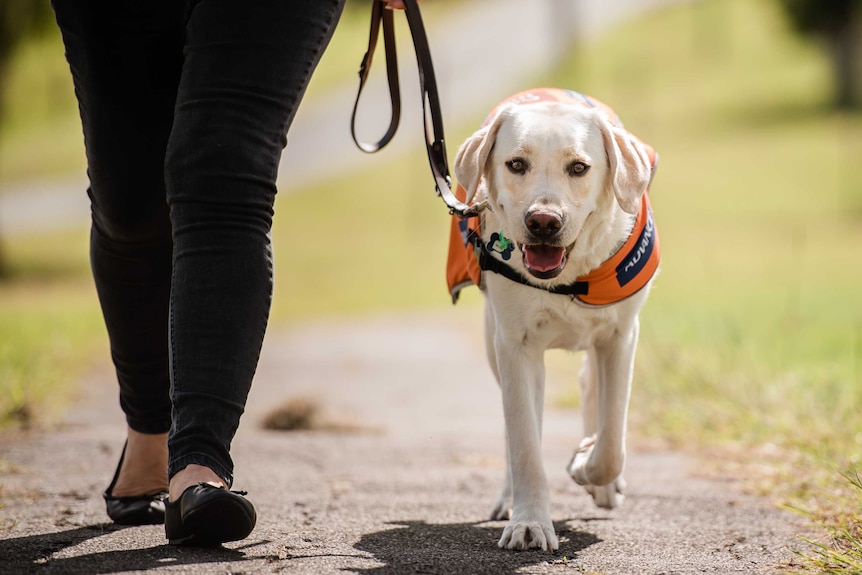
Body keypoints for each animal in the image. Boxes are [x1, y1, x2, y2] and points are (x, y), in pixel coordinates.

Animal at [446, 88, 660, 552]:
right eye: (516, 164)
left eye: (578, 167)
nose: (543, 221)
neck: (568, 278)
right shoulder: (515, 346)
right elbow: (525, 443)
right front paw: (529, 523)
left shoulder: (621, 336)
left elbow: (612, 440)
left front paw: (587, 467)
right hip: (496, 345)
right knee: (520, 429)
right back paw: (510, 498)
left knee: (592, 390)